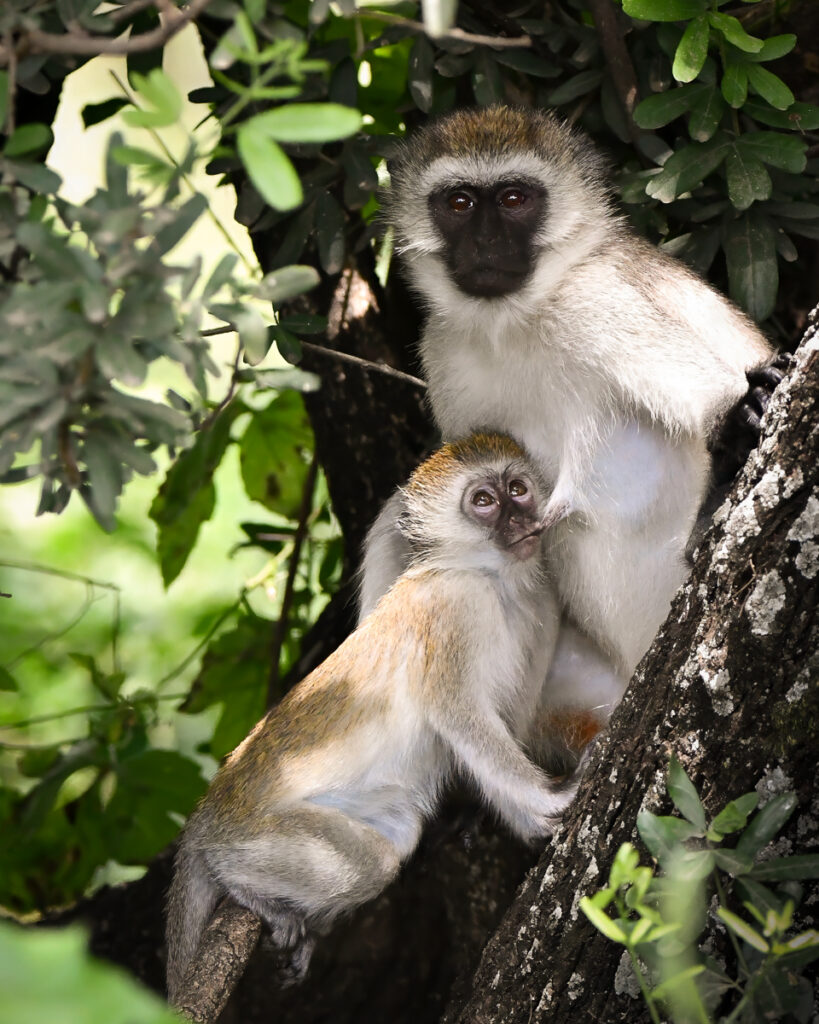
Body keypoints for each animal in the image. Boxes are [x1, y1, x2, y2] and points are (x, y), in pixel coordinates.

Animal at [164, 430, 581, 999]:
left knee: (399, 833)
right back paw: (240, 883)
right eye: (483, 501)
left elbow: (495, 740)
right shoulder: (453, 609)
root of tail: (208, 812)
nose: (520, 521)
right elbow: (462, 719)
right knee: (369, 863)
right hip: (258, 832)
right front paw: (556, 799)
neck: (493, 583)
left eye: (517, 489)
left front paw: (529, 825)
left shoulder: (544, 609)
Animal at [360, 103, 773, 745]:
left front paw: (739, 422)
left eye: (513, 199)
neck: (518, 319)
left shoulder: (596, 298)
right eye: (458, 203)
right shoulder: (444, 351)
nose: (485, 242)